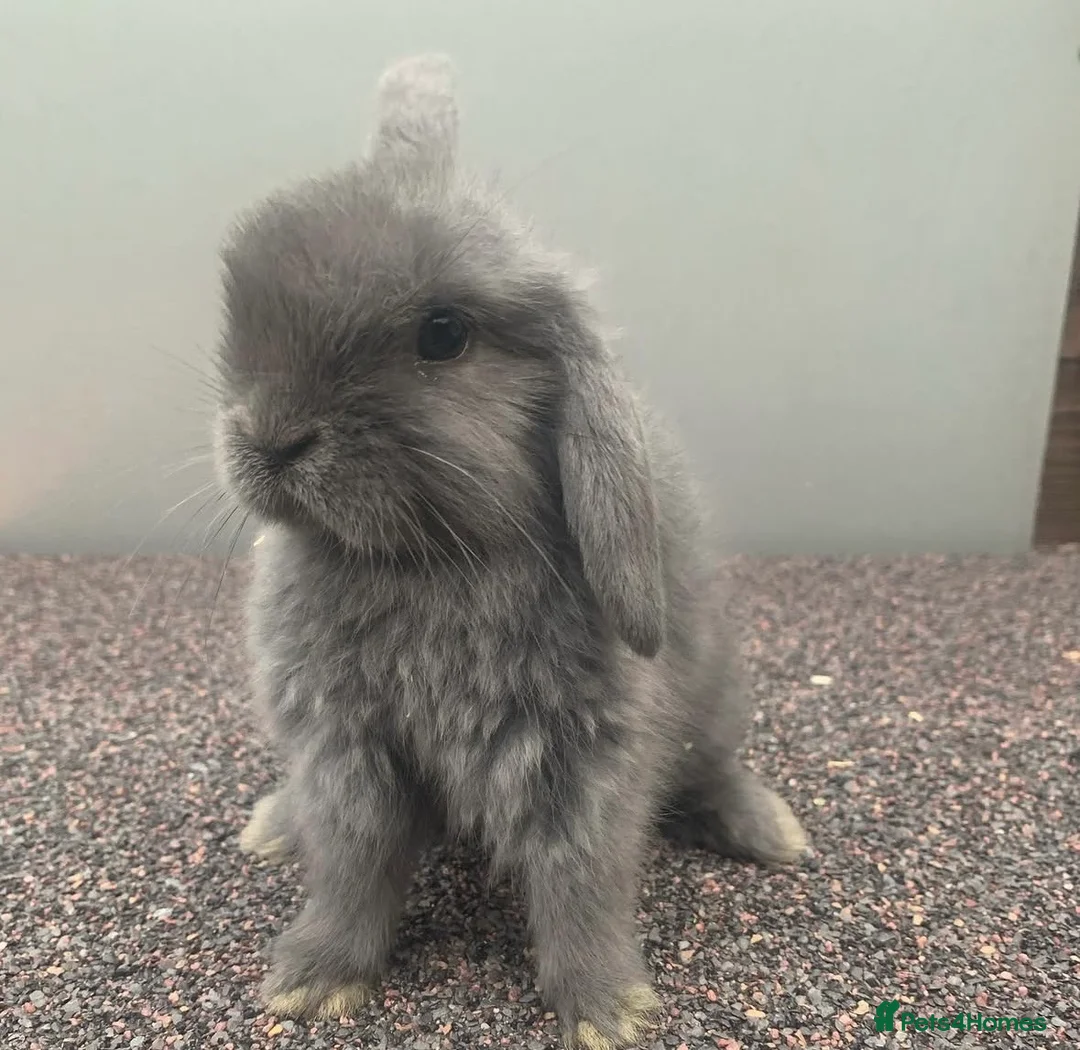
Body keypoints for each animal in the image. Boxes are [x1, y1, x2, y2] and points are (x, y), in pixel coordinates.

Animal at [216, 53, 808, 1050]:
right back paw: (273, 823)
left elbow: (582, 885)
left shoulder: (580, 759)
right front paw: (312, 982)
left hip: (716, 696)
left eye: (444, 336)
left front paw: (608, 1011)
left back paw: (772, 832)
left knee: (714, 769)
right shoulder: (347, 751)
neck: (425, 561)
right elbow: (350, 867)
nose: (269, 438)